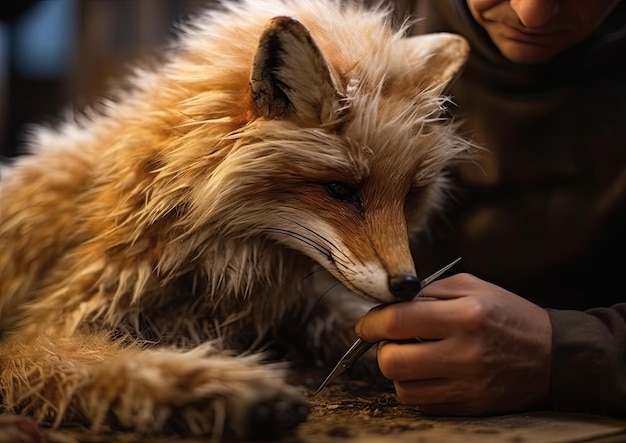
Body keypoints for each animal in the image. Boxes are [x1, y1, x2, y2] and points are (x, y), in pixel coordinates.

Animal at [0, 0, 468, 440]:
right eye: (340, 189)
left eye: (409, 196)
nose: (408, 286)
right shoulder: (49, 323)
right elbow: (94, 364)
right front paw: (215, 388)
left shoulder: (294, 305)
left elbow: (349, 320)